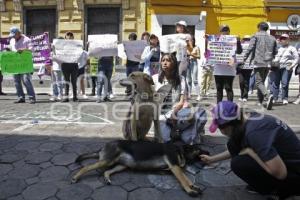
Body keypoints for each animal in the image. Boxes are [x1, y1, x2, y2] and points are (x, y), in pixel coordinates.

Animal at [72, 140, 209, 196]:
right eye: (199, 149)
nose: (208, 152)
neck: (180, 150)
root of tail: (103, 146)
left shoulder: (175, 168)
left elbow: (187, 179)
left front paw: (194, 186)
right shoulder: (174, 167)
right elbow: (183, 179)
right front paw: (190, 190)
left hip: (122, 165)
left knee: (107, 171)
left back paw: (107, 179)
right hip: (107, 161)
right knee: (87, 167)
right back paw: (75, 177)